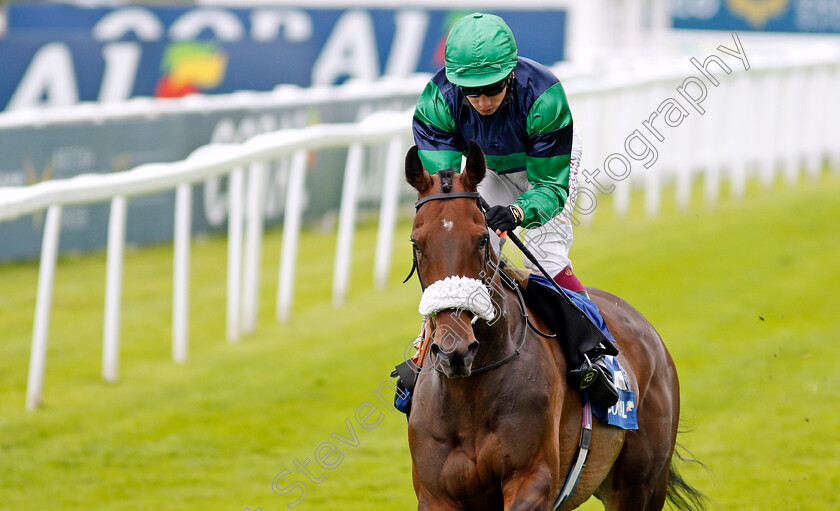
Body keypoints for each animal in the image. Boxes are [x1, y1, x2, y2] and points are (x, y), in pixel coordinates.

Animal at [404, 141, 704, 511]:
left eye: (481, 240)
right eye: (417, 244)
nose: (454, 351)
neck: (469, 392)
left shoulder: (533, 479)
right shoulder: (436, 494)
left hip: (642, 484)